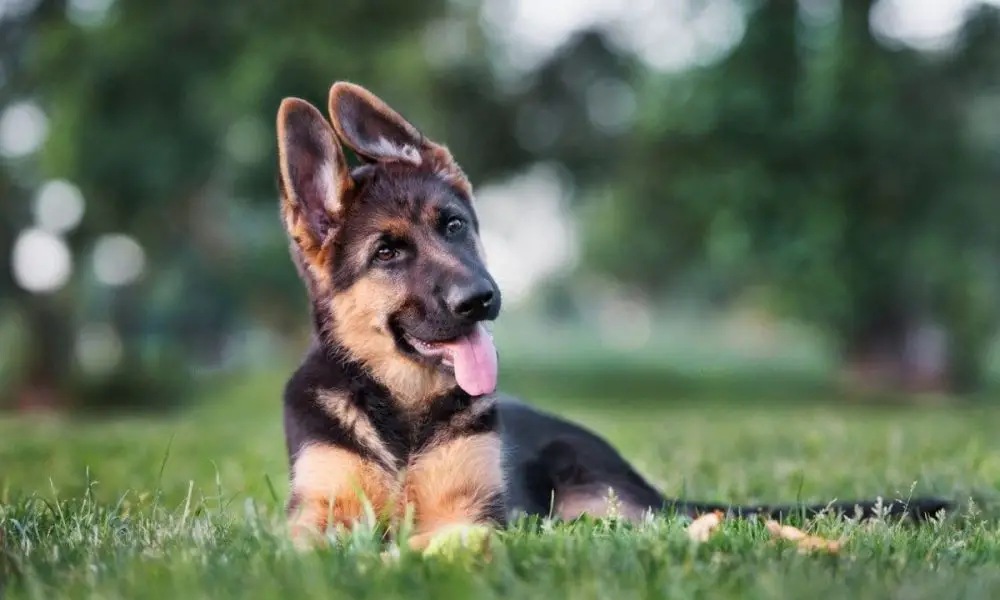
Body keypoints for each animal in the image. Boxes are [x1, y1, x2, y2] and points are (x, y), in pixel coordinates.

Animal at [278, 82, 948, 552]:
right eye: (387, 253)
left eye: (454, 226)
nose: (481, 298)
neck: (402, 413)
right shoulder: (318, 514)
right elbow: (312, 547)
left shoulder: (470, 512)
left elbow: (448, 537)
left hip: (601, 503)